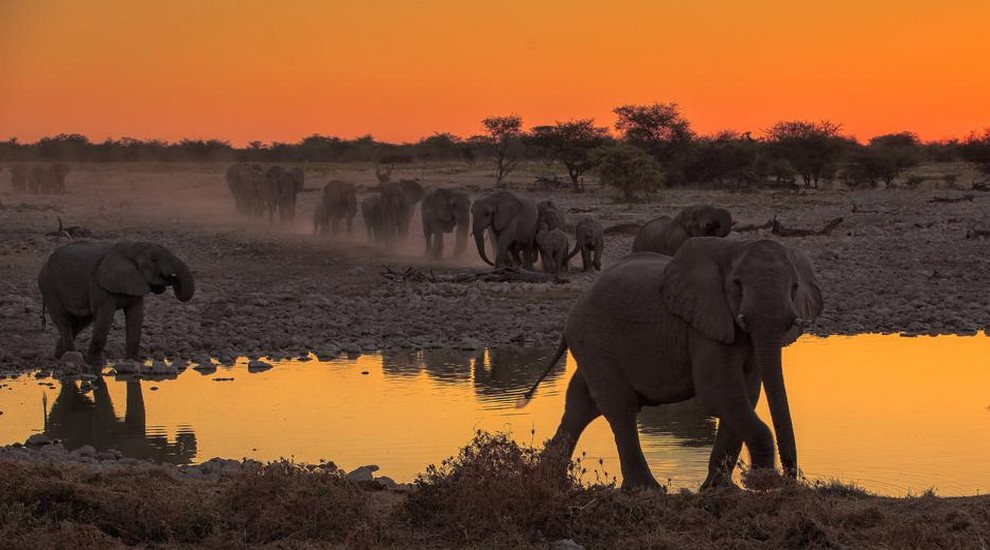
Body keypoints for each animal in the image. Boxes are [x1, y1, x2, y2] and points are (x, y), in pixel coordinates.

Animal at [37, 240, 196, 366]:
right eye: (155, 259)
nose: (172, 279)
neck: (134, 248)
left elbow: (136, 317)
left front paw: (135, 361)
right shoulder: (99, 285)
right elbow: (105, 318)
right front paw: (96, 364)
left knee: (81, 322)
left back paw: (60, 356)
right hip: (48, 286)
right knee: (62, 320)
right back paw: (72, 358)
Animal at [524, 239, 824, 494]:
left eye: (795, 287)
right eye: (737, 283)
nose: (790, 479)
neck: (733, 250)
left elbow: (746, 394)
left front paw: (721, 490)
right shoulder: (702, 326)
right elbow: (718, 392)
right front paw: (761, 482)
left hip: (591, 344)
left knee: (582, 404)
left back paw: (552, 481)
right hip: (594, 338)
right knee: (620, 407)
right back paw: (646, 490)